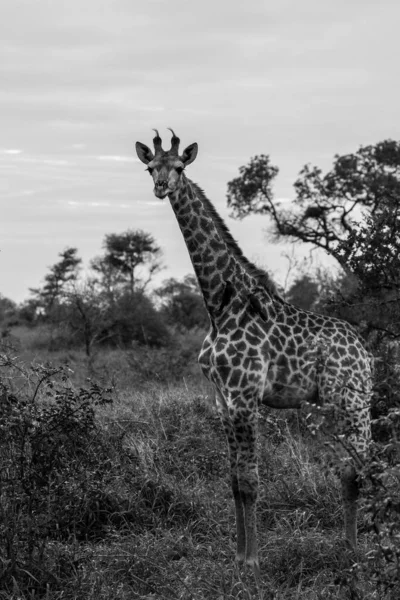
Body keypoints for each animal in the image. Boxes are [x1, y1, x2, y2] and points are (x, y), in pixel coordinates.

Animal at [134, 130, 372, 580]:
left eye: (180, 167)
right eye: (150, 167)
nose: (161, 187)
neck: (219, 305)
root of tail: (367, 354)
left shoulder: (245, 396)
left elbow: (252, 480)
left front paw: (253, 561)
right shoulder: (222, 399)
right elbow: (234, 482)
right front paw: (237, 558)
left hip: (352, 401)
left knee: (367, 463)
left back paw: (371, 549)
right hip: (328, 406)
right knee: (350, 468)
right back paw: (349, 549)